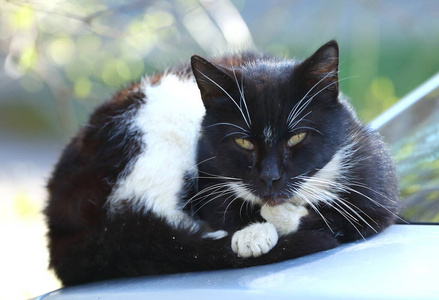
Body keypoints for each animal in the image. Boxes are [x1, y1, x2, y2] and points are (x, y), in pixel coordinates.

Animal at [46, 39, 400, 286]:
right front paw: (251, 233)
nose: (269, 177)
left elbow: (352, 216)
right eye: (243, 142)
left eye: (297, 138)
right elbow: (221, 207)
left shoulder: (377, 187)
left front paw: (272, 221)